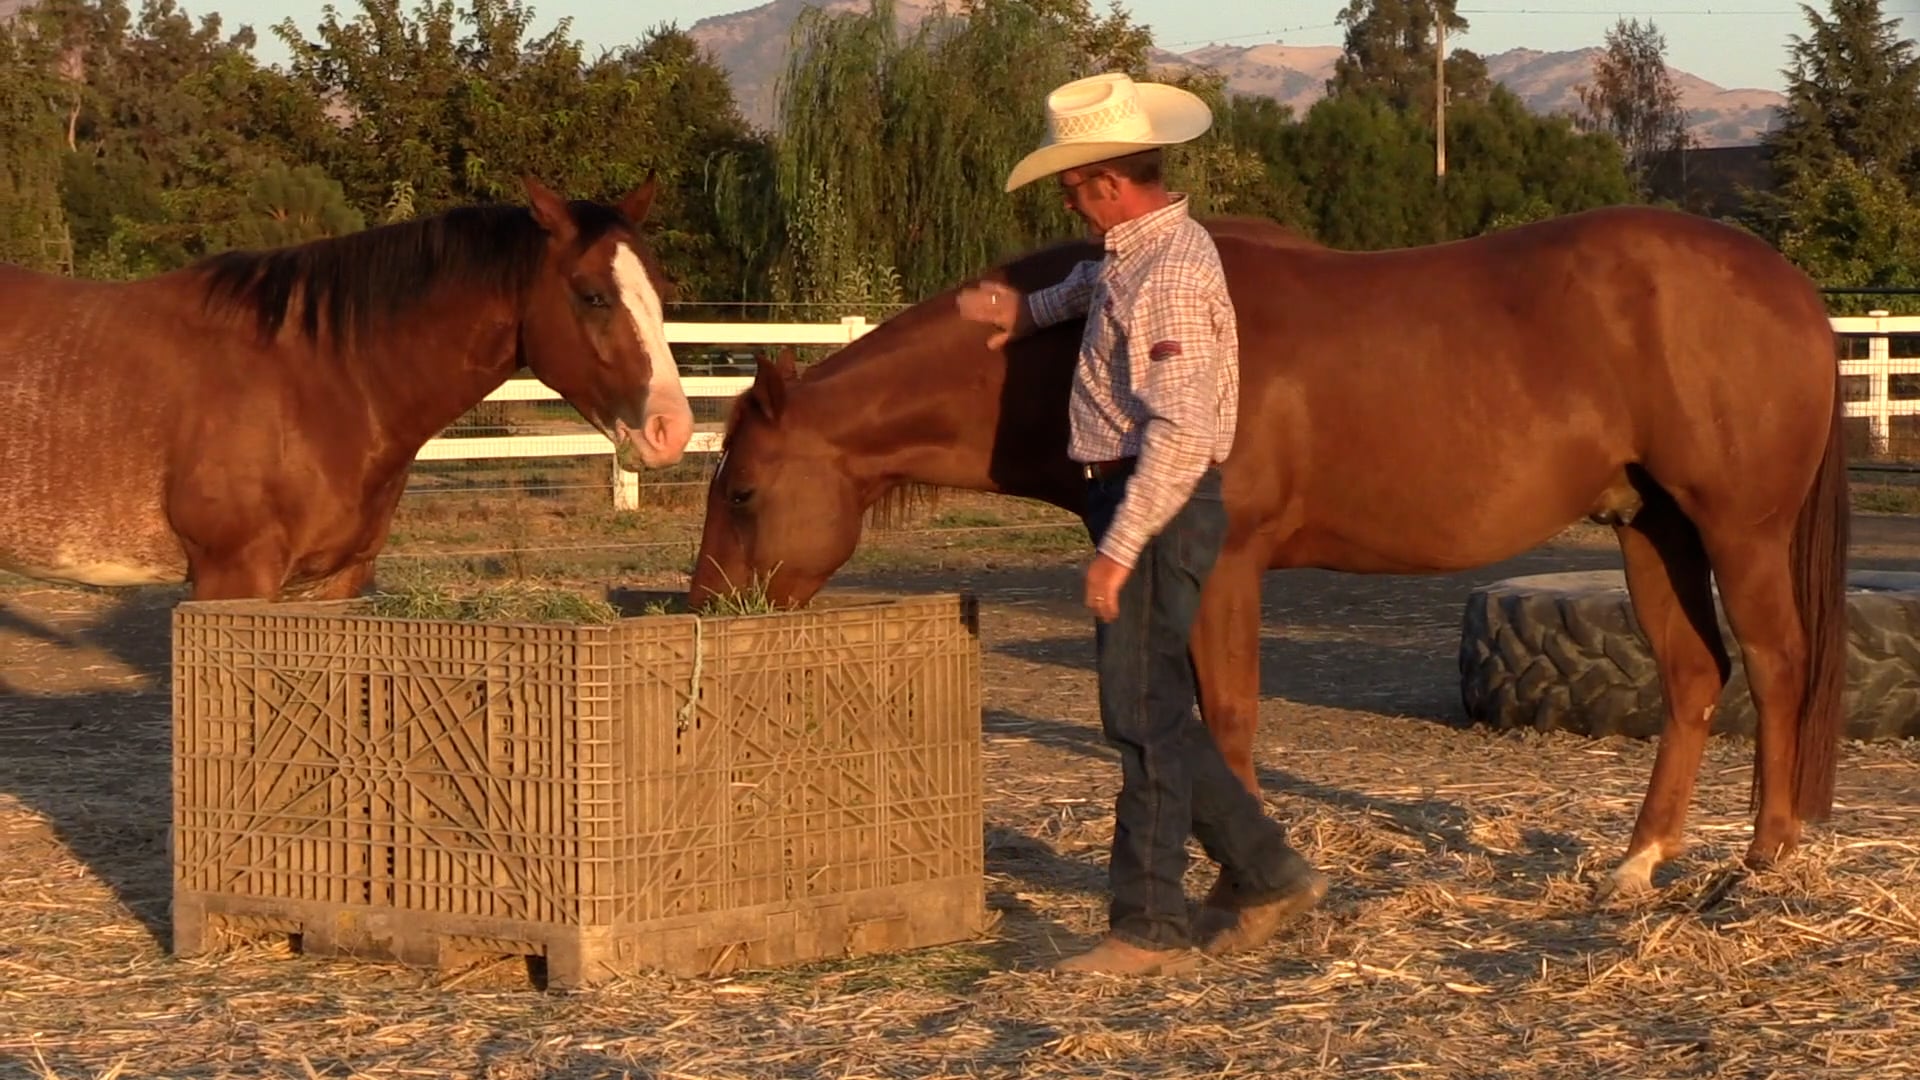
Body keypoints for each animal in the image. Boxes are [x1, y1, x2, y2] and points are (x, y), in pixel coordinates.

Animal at [0, 175, 695, 601]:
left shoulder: (333, 580)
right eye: (593, 295)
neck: (318, 381)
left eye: (661, 289)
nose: (672, 429)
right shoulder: (232, 578)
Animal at [687, 205, 1851, 899]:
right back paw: (1639, 864)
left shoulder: (1227, 569)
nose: (703, 611)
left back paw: (1763, 860)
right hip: (1650, 527)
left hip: (1737, 531)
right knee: (1693, 676)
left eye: (742, 491)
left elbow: (1233, 716)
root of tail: (1791, 287)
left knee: (1778, 667)